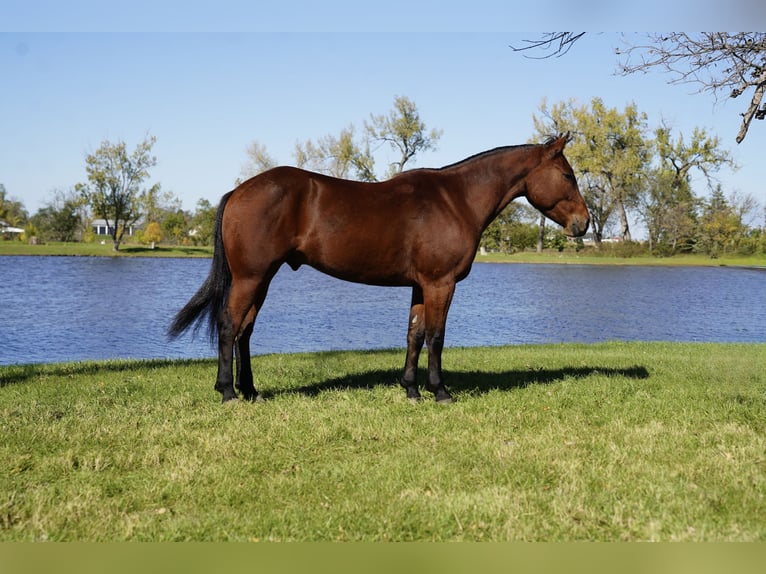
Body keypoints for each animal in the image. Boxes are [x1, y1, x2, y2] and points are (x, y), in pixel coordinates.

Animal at [168, 134, 589, 404]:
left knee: (245, 330)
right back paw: (227, 392)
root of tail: (239, 191)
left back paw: (251, 391)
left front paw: (411, 389)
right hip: (250, 277)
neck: (456, 201)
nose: (583, 224)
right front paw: (440, 391)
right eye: (568, 175)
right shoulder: (441, 283)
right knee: (229, 325)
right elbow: (436, 336)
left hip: (262, 278)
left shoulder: (421, 286)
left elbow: (414, 335)